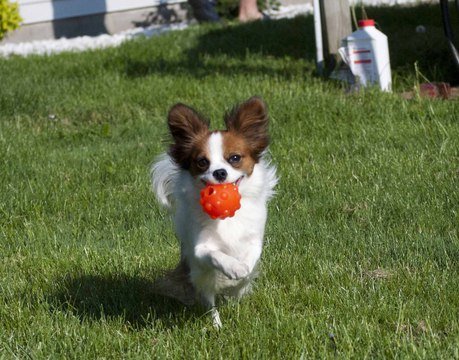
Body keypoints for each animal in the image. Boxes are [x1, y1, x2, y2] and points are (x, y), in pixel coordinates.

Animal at [153, 96, 278, 330]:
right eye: (202, 162)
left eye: (235, 158)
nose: (219, 172)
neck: (227, 218)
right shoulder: (199, 249)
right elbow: (216, 255)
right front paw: (233, 268)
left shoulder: (254, 239)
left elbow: (251, 260)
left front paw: (241, 274)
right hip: (200, 276)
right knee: (209, 301)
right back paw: (217, 325)